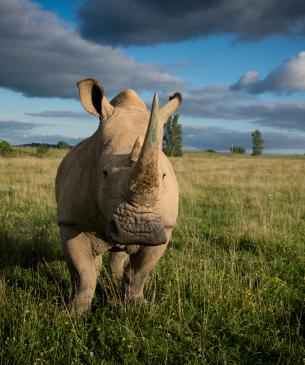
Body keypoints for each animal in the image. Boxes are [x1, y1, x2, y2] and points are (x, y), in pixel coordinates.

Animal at [55, 78, 180, 312]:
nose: (139, 231)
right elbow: (84, 273)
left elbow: (140, 272)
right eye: (104, 174)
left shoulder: (165, 227)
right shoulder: (71, 222)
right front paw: (75, 312)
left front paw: (137, 305)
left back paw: (115, 278)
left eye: (164, 176)